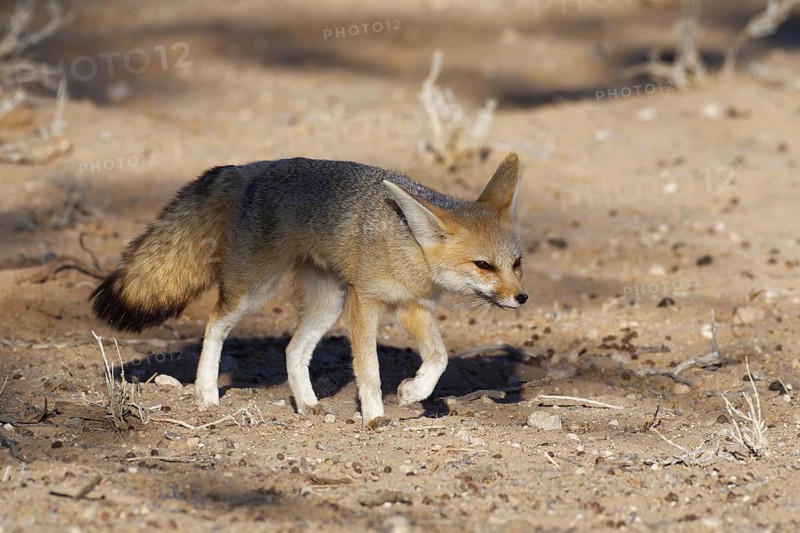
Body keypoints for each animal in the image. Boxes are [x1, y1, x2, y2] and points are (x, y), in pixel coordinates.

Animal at [91, 153, 527, 428]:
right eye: (483, 265)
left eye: (517, 263)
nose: (521, 297)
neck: (407, 247)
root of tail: (253, 167)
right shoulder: (366, 300)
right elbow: (368, 369)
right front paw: (375, 416)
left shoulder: (411, 306)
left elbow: (439, 357)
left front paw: (413, 392)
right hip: (256, 290)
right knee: (214, 325)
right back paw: (207, 394)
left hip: (326, 304)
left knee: (292, 349)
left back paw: (306, 403)